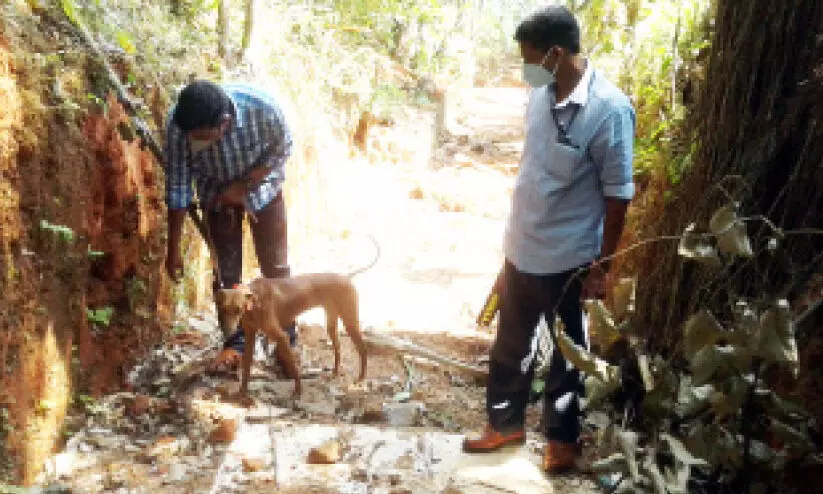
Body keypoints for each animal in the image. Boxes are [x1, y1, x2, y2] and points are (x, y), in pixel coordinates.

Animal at [214, 236, 378, 398]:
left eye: (238, 309)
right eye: (222, 309)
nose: (228, 333)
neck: (254, 301)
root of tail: (345, 277)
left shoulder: (283, 337)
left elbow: (293, 366)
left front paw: (298, 390)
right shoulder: (250, 335)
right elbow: (247, 366)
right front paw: (242, 391)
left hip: (350, 321)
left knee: (363, 350)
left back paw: (360, 379)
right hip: (332, 322)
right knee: (338, 347)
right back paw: (335, 373)